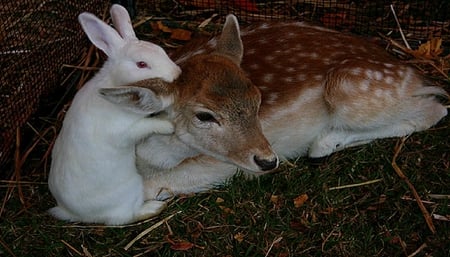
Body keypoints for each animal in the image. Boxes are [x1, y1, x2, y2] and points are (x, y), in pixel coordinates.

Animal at [48, 4, 181, 224]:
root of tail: (70, 212)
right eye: (141, 64)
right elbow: (147, 126)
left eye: (160, 50)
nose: (177, 73)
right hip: (132, 188)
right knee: (125, 217)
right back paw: (153, 207)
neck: (112, 83)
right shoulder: (125, 131)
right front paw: (168, 125)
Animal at [133, 14, 446, 200]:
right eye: (204, 115)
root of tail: (417, 73)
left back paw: (323, 143)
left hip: (350, 86)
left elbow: (150, 187)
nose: (268, 160)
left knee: (435, 110)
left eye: (258, 99)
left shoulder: (220, 165)